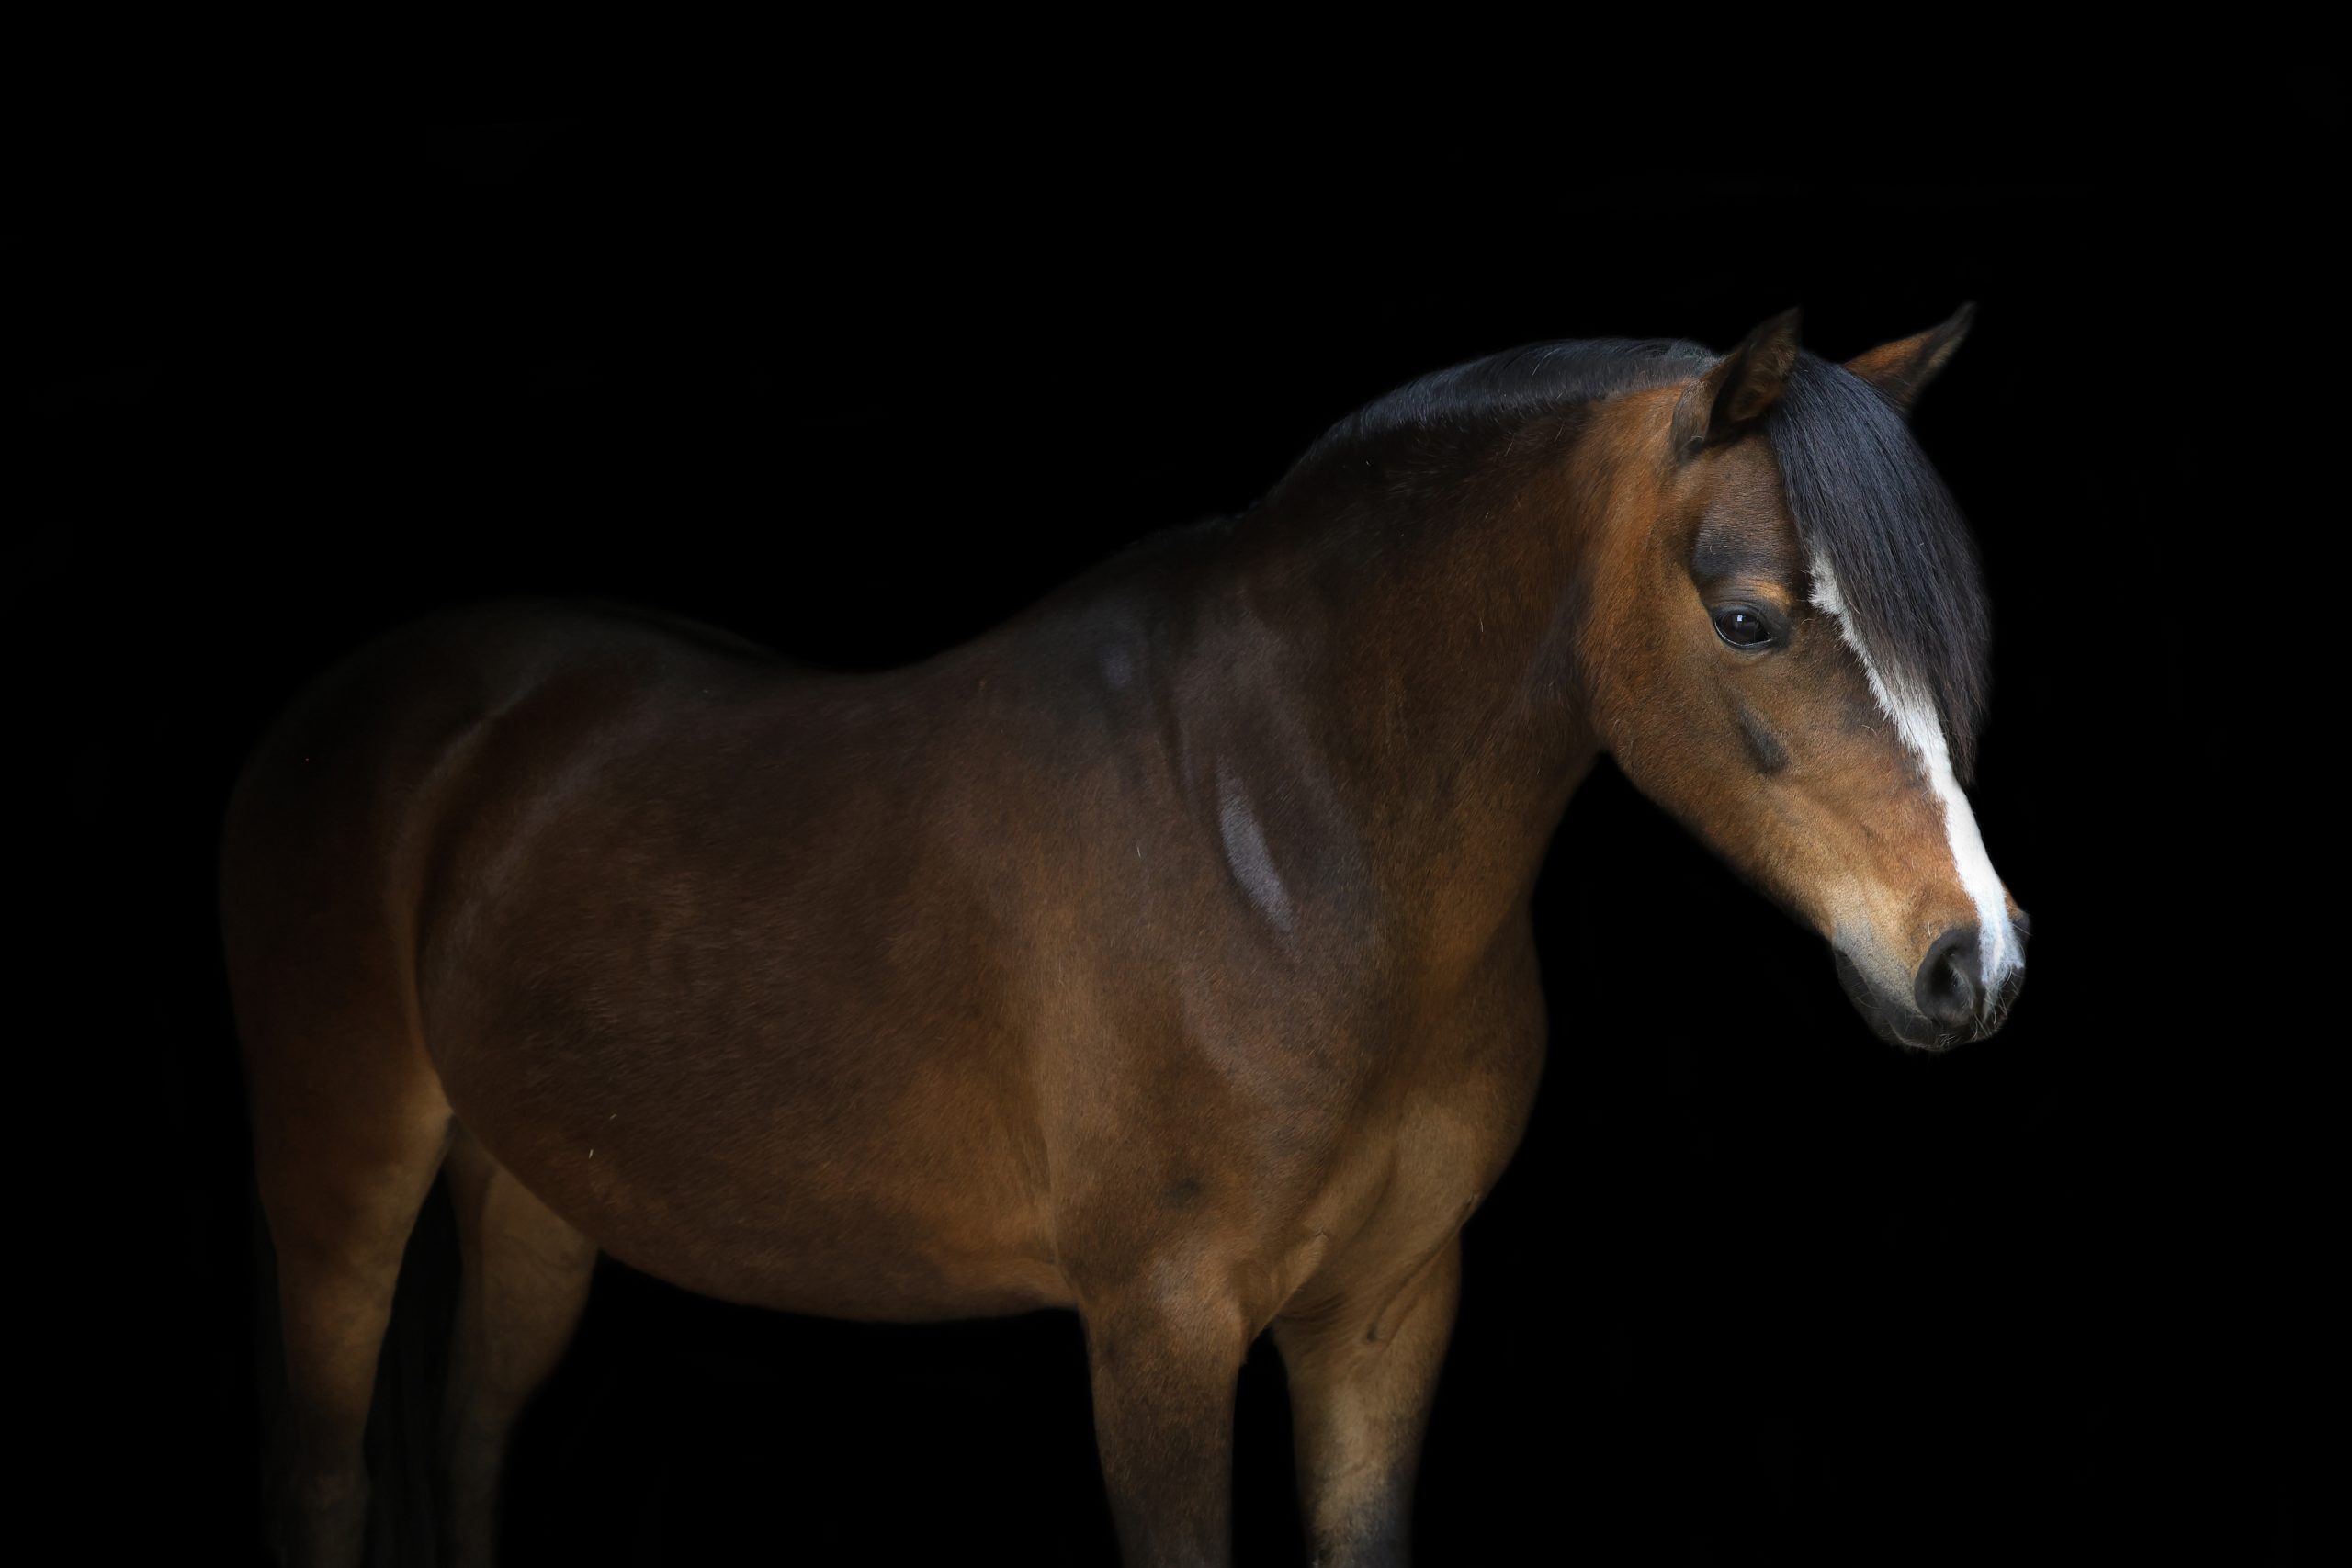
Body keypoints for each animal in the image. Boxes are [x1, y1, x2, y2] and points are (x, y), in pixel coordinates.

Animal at [222, 305, 2026, 1567]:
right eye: (1749, 616)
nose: (1974, 964)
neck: (1280, 833)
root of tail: (372, 706)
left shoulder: (1386, 1313)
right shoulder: (1158, 1334)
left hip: (533, 1194)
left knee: (464, 1456)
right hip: (343, 1178)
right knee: (317, 1475)